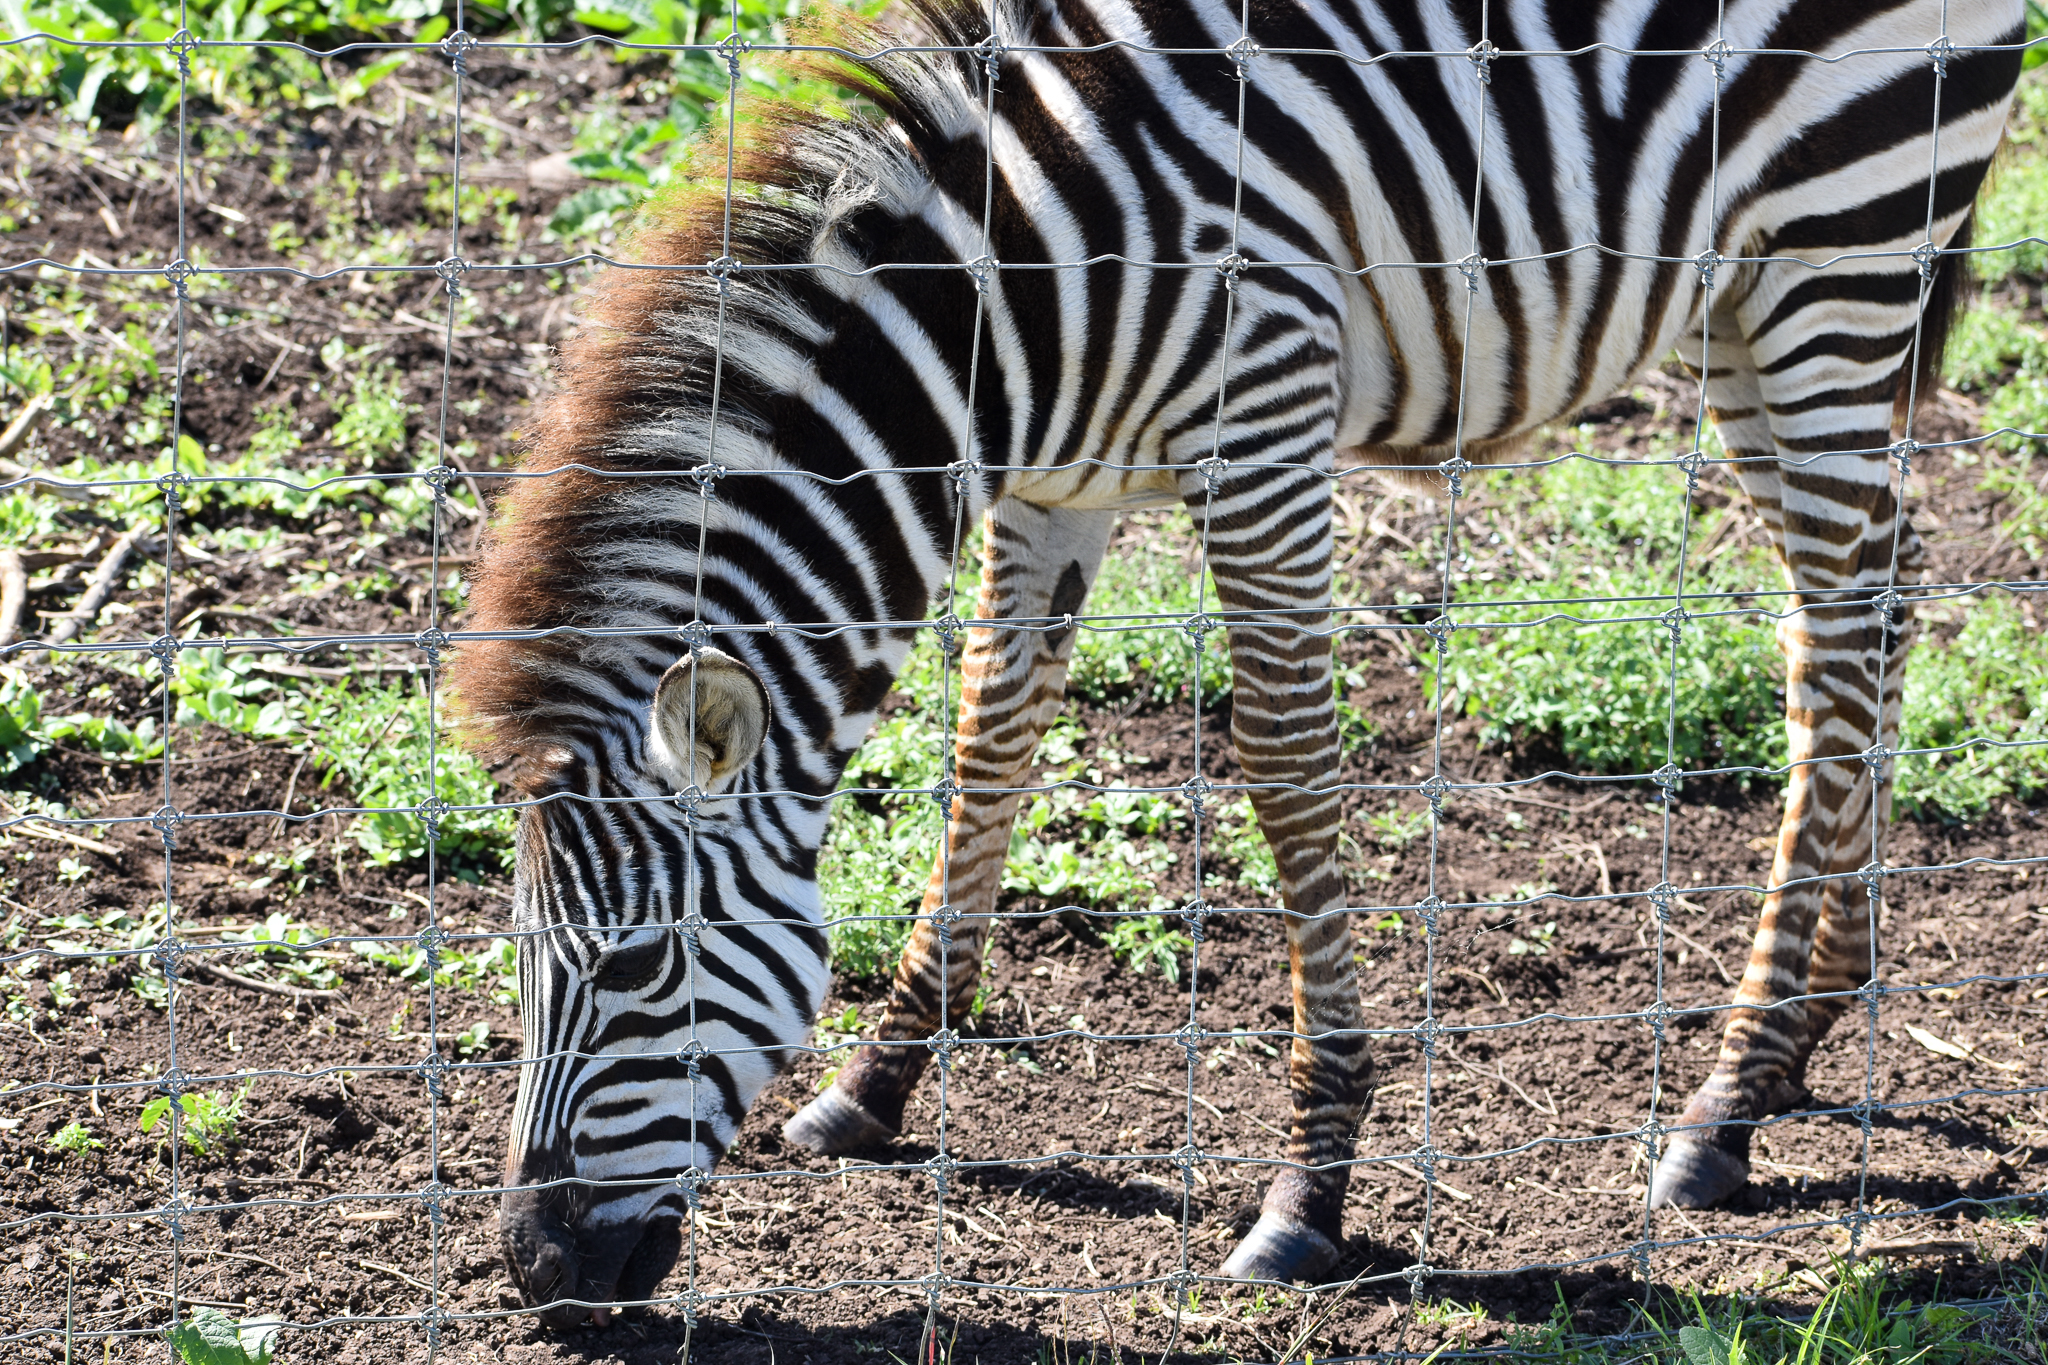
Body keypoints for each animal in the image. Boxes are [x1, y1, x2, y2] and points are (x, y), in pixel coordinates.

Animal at [451, 0, 2025, 1321]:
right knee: (1869, 598)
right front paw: (875, 1080)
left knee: (1843, 624)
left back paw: (1727, 1104)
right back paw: (1819, 1011)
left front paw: (1308, 1192)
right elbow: (990, 742)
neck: (1017, 306)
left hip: (1838, 254)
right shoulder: (1054, 488)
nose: (539, 1275)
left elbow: (1285, 774)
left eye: (641, 961)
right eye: (514, 959)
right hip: (1733, 298)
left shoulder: (1263, 439)